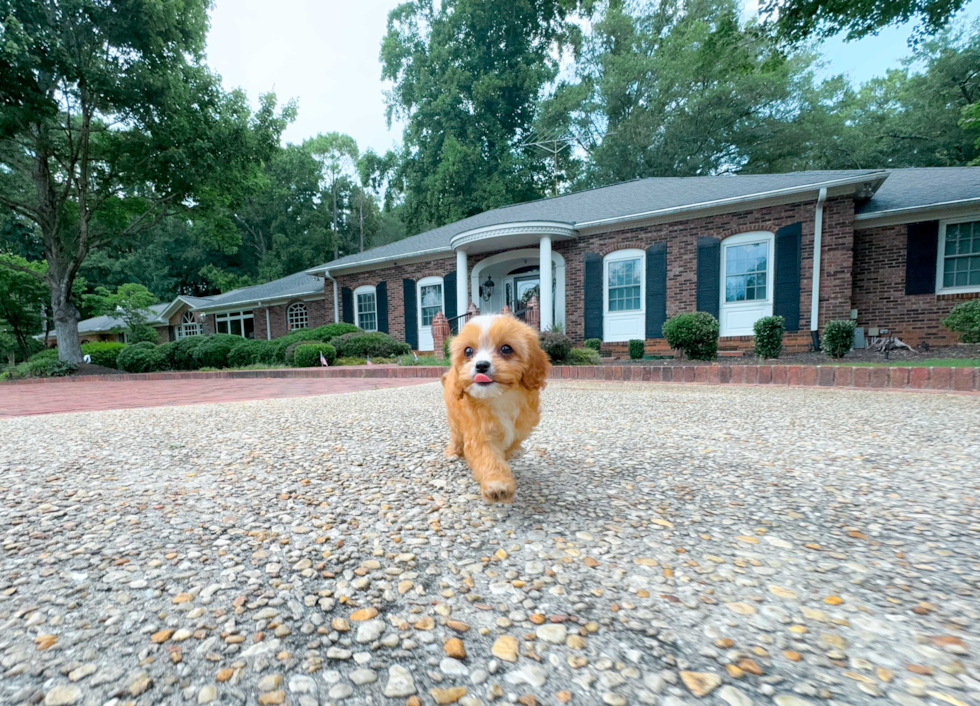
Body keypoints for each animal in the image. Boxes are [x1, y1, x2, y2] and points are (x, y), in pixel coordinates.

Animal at [444, 314, 552, 500]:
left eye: (506, 349)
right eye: (468, 351)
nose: (481, 365)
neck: (500, 397)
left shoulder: (521, 428)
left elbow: (509, 445)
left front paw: (510, 454)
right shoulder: (479, 432)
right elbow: (488, 456)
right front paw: (497, 484)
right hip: (454, 419)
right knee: (456, 435)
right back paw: (453, 452)